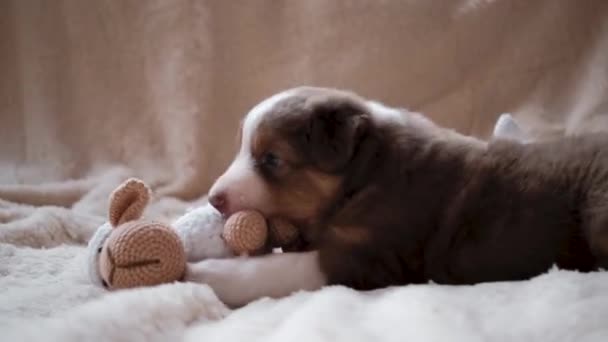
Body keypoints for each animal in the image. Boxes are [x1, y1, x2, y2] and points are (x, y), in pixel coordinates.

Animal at [186, 85, 608, 308]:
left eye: (271, 159)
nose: (214, 198)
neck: (366, 173)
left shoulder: (368, 256)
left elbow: (273, 269)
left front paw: (201, 274)